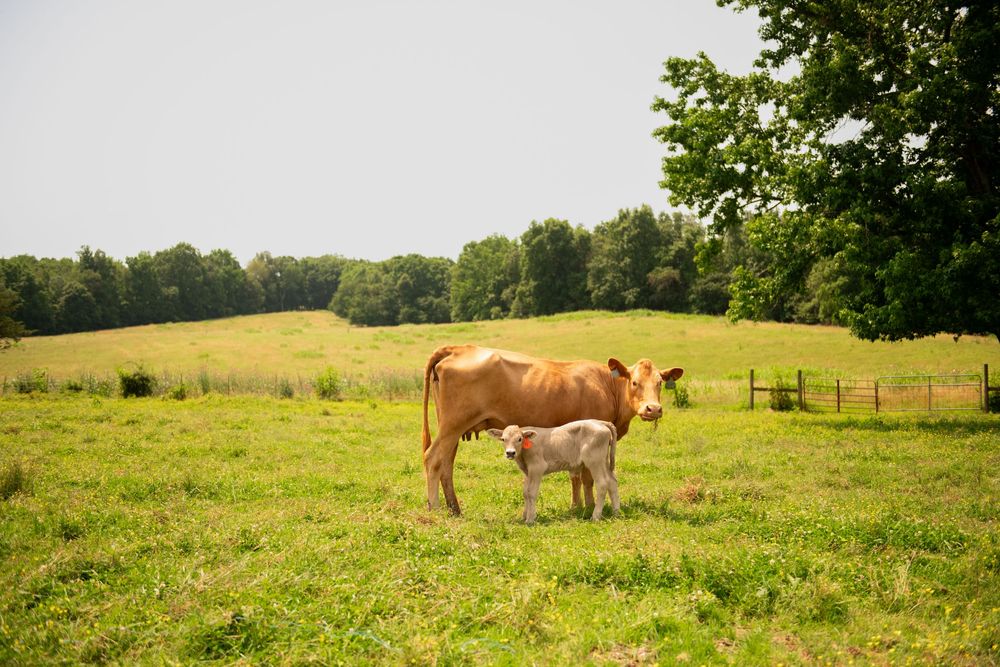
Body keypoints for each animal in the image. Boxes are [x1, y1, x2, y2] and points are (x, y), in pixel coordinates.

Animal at [486, 421, 619, 524]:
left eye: (519, 439)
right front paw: (524, 515)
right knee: (612, 482)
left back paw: (595, 516)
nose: (510, 453)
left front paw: (530, 519)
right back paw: (616, 512)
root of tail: (601, 422)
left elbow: (531, 493)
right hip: (604, 461)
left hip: (594, 461)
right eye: (503, 439)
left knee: (602, 484)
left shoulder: (537, 468)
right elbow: (525, 493)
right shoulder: (527, 471)